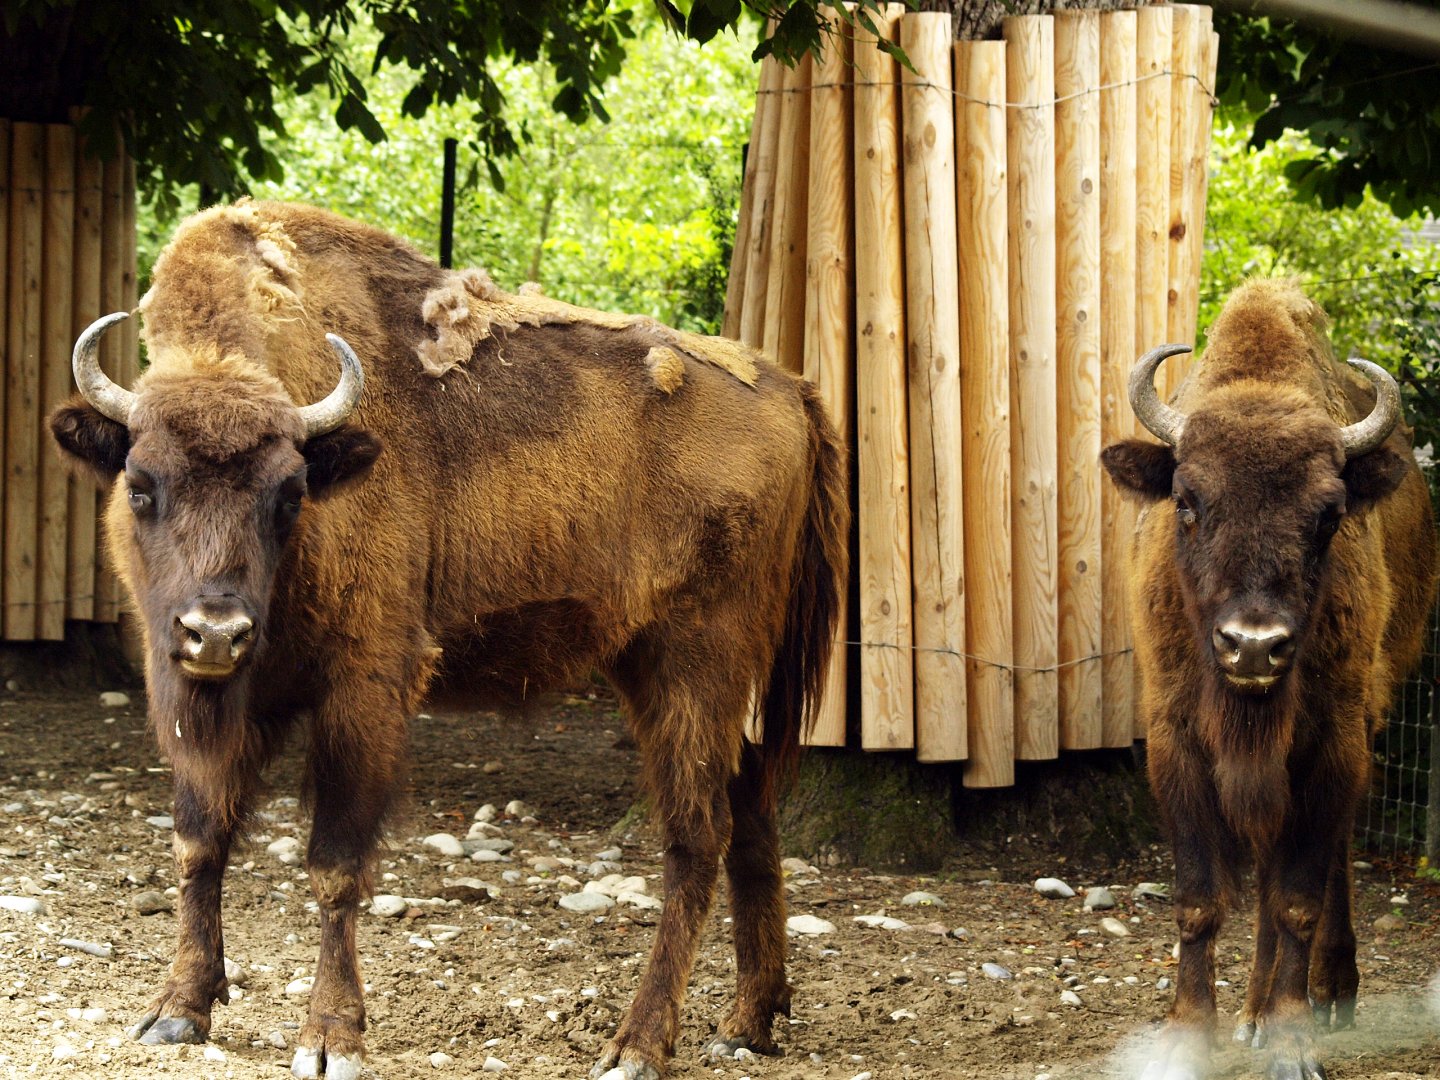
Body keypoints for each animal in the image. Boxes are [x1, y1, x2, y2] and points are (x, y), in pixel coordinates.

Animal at [51, 200, 848, 1080]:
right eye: (141, 484)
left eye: (289, 491)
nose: (216, 631)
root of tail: (795, 390)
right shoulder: (199, 699)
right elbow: (201, 842)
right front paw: (177, 1011)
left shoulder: (364, 691)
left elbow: (334, 864)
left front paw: (330, 1037)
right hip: (664, 670)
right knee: (752, 812)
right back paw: (747, 1022)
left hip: (696, 664)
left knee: (696, 837)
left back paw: (637, 1046)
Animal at [1102, 279, 1436, 1080]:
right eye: (1187, 501)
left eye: (1329, 513)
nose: (1252, 648)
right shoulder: (1178, 743)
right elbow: (1200, 899)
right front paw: (1188, 1035)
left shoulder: (1332, 742)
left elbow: (1296, 899)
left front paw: (1292, 1040)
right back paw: (1251, 1012)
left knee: (1324, 863)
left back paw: (1326, 992)